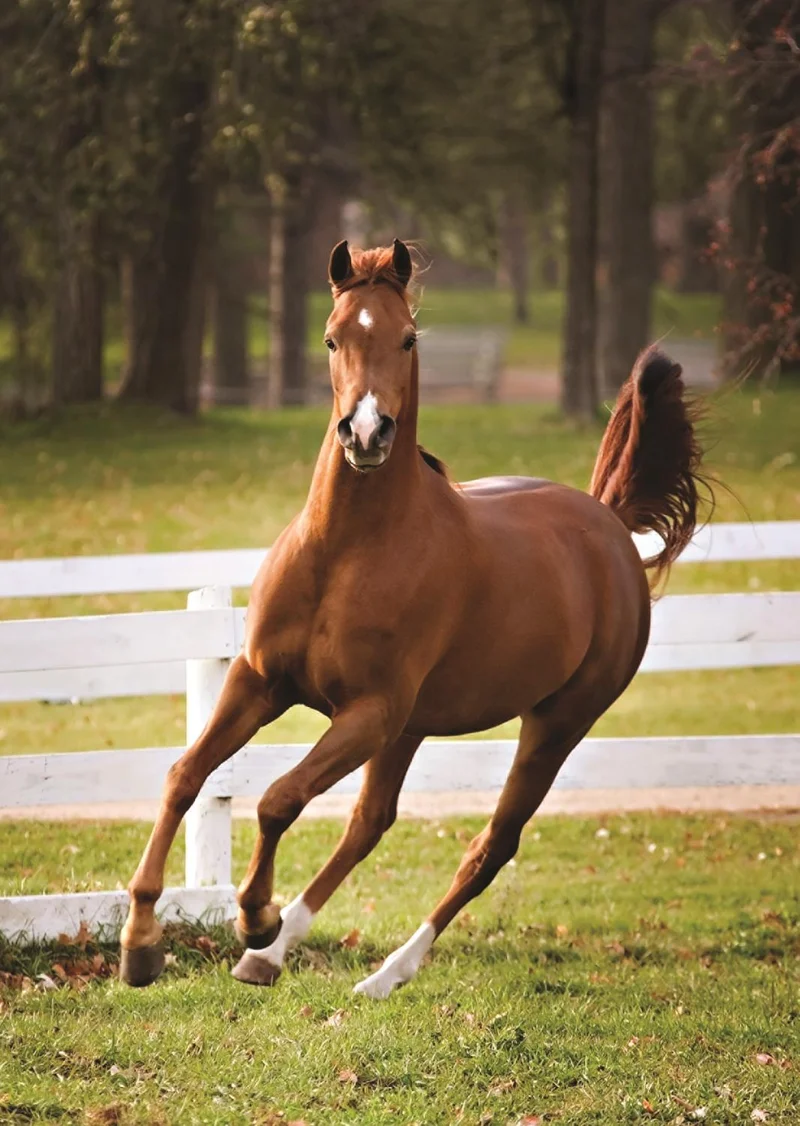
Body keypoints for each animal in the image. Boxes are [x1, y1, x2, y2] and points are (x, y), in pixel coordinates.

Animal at [119, 238, 705, 998]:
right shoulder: (259, 682)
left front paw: (254, 914)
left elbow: (279, 798)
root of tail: (608, 524)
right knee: (371, 822)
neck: (345, 551)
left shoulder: (368, 711)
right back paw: (272, 956)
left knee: (491, 846)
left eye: (408, 338)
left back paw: (382, 972)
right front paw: (141, 942)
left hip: (554, 723)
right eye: (332, 336)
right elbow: (185, 777)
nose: (367, 433)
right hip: (413, 727)